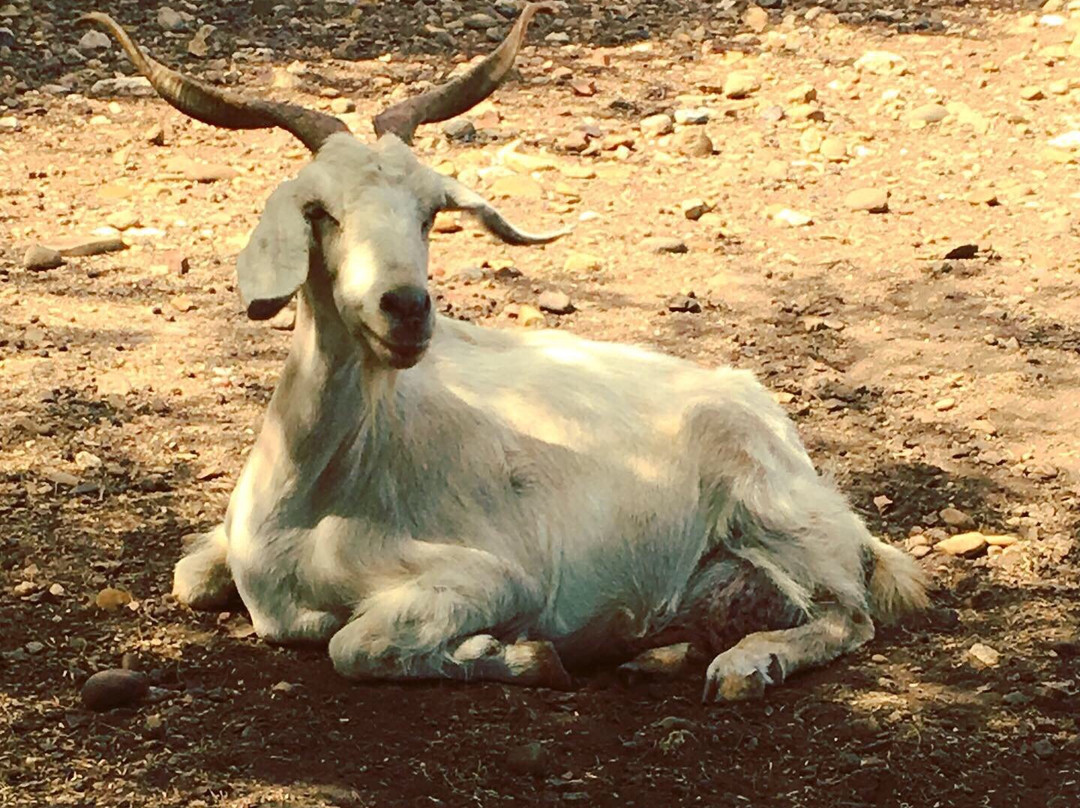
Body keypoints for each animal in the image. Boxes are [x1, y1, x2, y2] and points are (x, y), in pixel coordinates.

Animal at [82, 6, 926, 702]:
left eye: (430, 211)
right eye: (320, 211)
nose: (406, 308)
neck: (321, 490)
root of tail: (771, 419)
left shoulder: (493, 575)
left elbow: (355, 644)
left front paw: (520, 657)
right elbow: (190, 575)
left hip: (781, 519)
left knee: (849, 613)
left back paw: (743, 666)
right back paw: (663, 649)